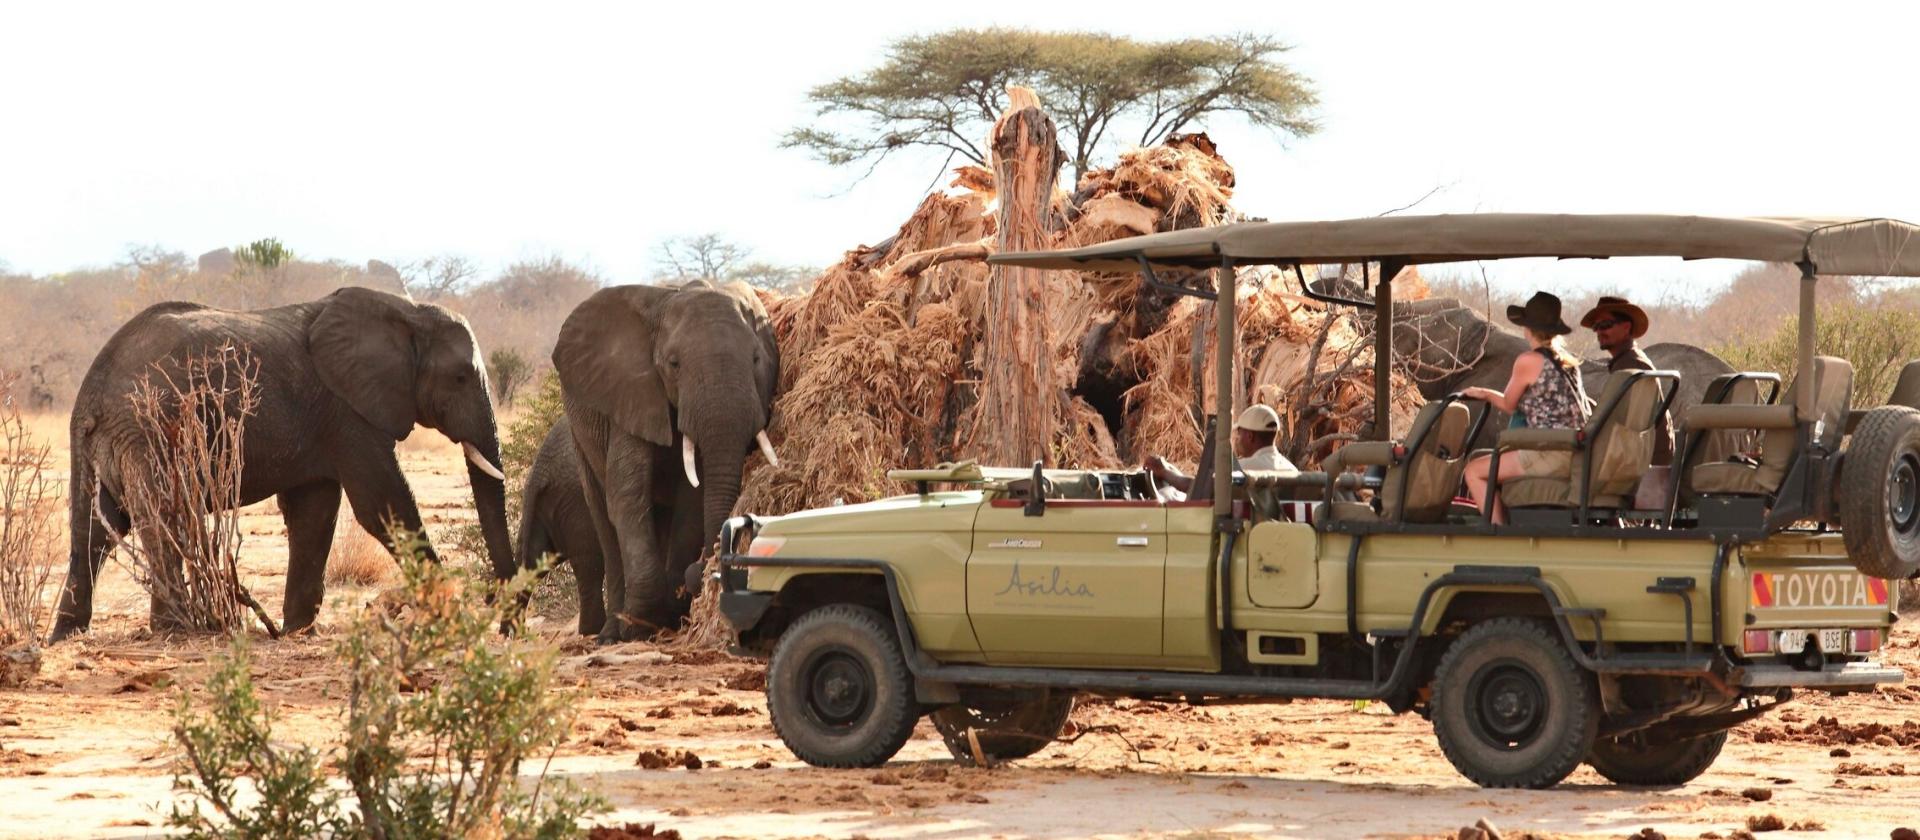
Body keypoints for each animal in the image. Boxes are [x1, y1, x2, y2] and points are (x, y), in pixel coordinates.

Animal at [50, 287, 513, 642]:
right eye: (460, 378)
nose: (507, 627)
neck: (409, 311)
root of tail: (93, 389)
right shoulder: (349, 412)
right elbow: (383, 504)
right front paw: (452, 610)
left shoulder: (326, 423)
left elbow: (314, 513)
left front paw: (297, 631)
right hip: (150, 431)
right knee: (162, 516)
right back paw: (176, 630)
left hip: (101, 443)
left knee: (93, 529)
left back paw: (66, 635)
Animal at [553, 280, 778, 643]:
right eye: (674, 364)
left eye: (757, 359)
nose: (701, 569)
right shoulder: (632, 392)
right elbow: (627, 495)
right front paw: (639, 624)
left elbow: (692, 497)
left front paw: (666, 611)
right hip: (580, 436)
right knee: (604, 518)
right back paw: (610, 633)